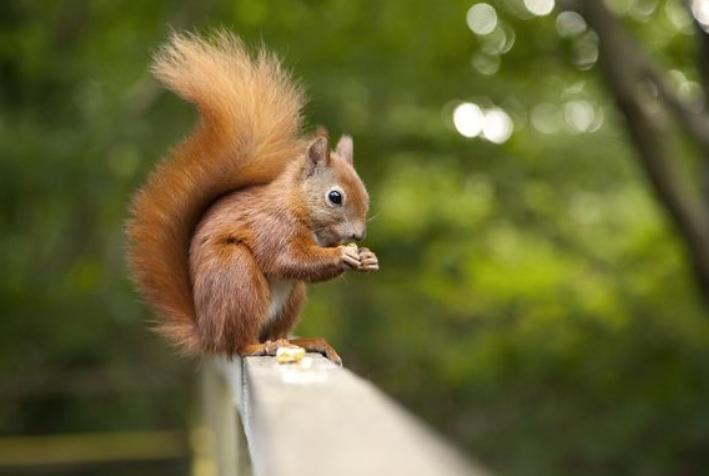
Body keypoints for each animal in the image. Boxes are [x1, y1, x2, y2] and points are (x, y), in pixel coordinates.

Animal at [125, 30, 376, 364]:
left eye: (365, 194)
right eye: (335, 197)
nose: (359, 236)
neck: (296, 204)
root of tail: (209, 334)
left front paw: (367, 257)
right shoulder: (272, 226)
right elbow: (290, 258)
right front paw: (342, 255)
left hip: (291, 297)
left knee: (275, 330)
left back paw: (303, 342)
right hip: (237, 275)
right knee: (239, 342)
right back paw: (260, 347)